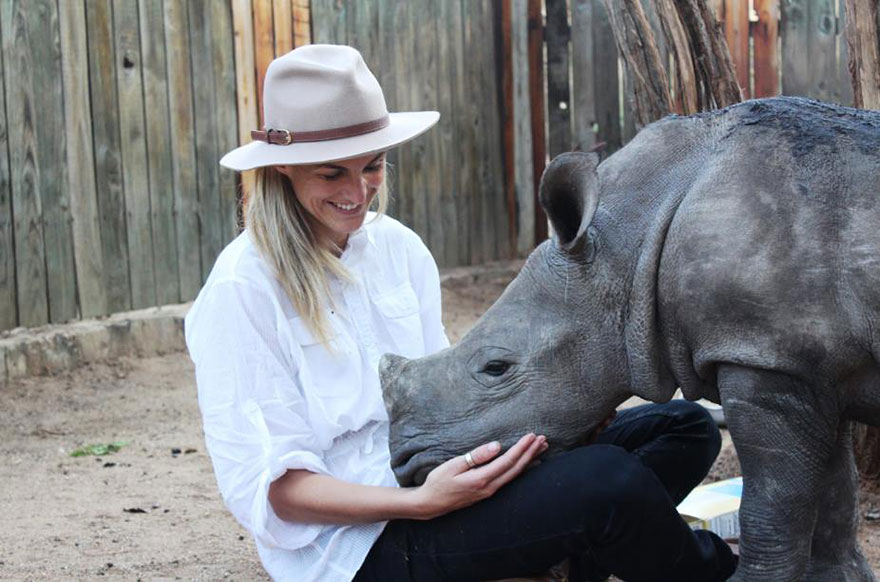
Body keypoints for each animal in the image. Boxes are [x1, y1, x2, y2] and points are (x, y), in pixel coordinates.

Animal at [379, 97, 880, 582]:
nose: (404, 462)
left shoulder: (762, 355)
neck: (629, 243)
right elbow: (833, 492)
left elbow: (772, 504)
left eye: (496, 368)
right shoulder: (803, 358)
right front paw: (837, 576)